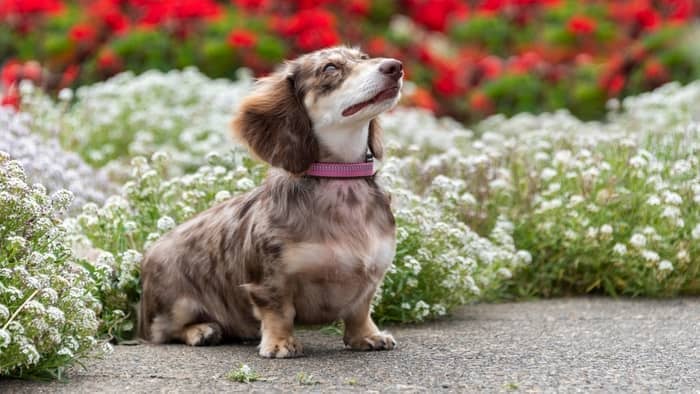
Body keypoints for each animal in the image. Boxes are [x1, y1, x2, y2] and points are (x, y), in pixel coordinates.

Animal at [139, 45, 402, 358]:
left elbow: (360, 310)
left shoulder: (371, 276)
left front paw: (368, 336)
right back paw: (201, 330)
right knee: (164, 332)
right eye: (329, 68)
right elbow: (279, 311)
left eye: (363, 58)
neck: (340, 178)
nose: (395, 67)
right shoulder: (271, 280)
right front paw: (279, 343)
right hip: (176, 305)